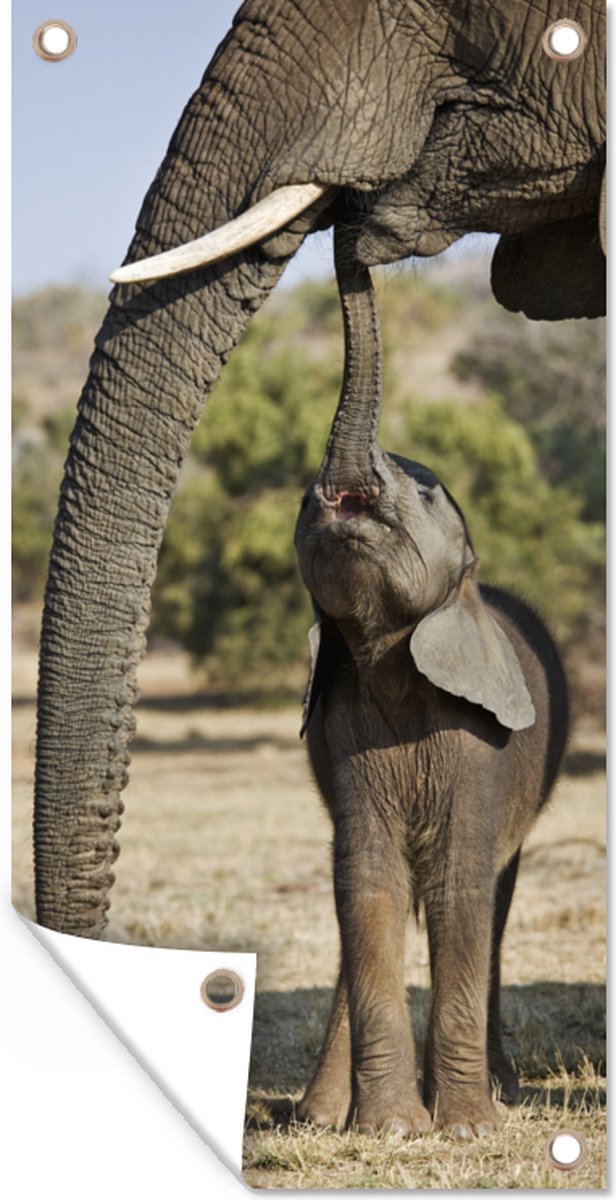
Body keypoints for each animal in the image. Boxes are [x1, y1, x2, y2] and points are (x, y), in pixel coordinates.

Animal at [293, 229, 569, 1137]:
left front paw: (469, 1126)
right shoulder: (343, 731)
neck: (391, 658)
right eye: (304, 501)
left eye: (423, 492)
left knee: (493, 899)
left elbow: (457, 885)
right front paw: (389, 1129)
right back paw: (319, 1115)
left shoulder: (481, 745)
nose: (348, 241)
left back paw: (500, 1091)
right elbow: (370, 880)